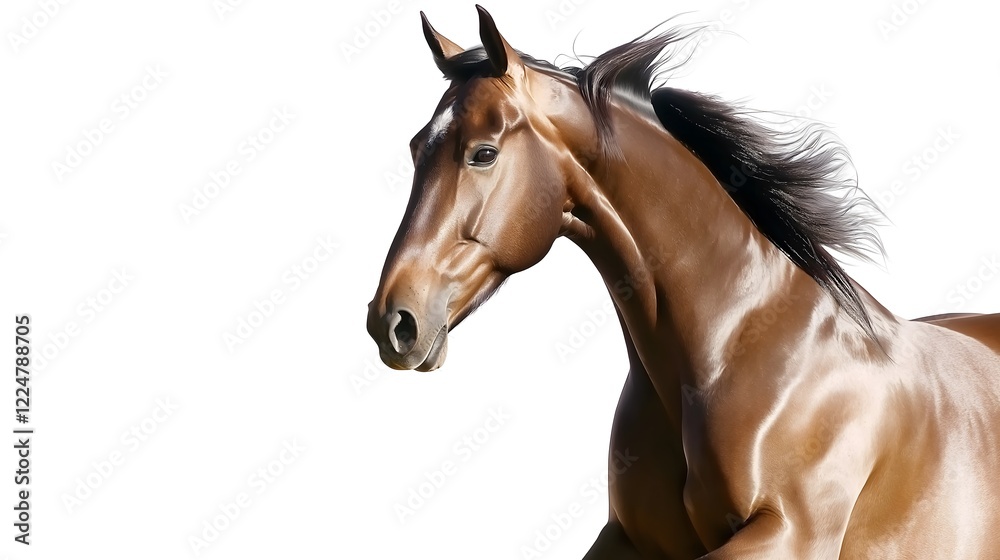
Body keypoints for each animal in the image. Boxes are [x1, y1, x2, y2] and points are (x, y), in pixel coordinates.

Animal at [366, 6, 1000, 558]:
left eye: (483, 153)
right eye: (416, 148)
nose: (392, 321)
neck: (734, 347)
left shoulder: (789, 534)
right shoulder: (630, 540)